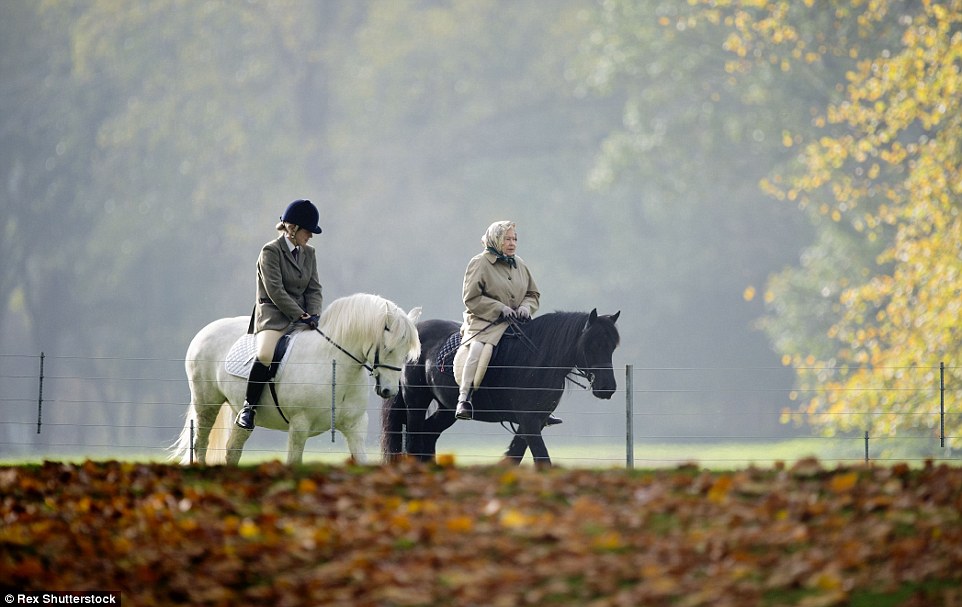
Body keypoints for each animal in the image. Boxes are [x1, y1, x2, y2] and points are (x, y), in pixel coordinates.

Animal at [172, 294, 420, 466]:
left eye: (405, 352)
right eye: (387, 348)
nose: (389, 391)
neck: (333, 365)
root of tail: (206, 330)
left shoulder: (355, 426)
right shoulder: (299, 426)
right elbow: (294, 462)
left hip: (237, 410)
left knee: (233, 449)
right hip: (207, 404)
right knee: (200, 444)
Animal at [378, 308, 620, 470]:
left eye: (612, 346)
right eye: (592, 344)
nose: (607, 388)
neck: (536, 360)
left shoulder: (534, 420)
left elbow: (515, 456)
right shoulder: (529, 420)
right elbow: (542, 459)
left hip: (447, 409)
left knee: (428, 437)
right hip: (416, 403)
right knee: (415, 442)